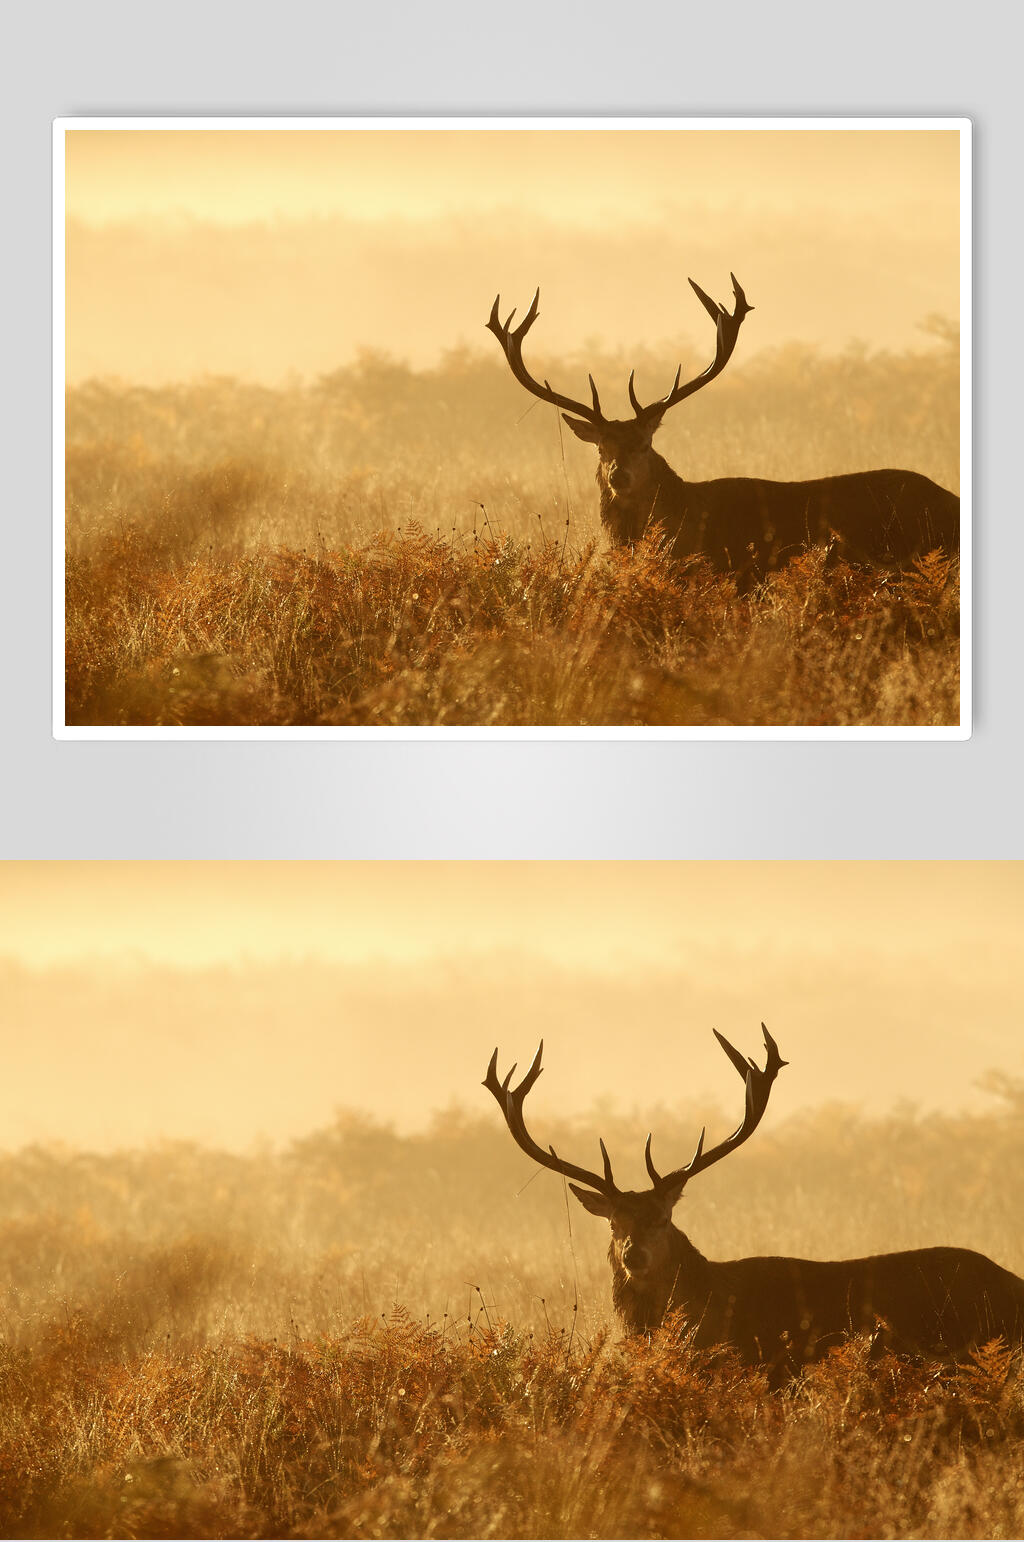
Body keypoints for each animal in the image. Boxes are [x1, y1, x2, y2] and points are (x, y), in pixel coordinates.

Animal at [484, 1027, 1024, 1384]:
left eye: (664, 1217)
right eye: (614, 1223)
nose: (634, 1254)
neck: (709, 1305)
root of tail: (1013, 1283)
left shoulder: (765, 1367)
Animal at [487, 281, 960, 590]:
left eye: (645, 443)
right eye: (602, 447)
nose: (619, 476)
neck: (685, 520)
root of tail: (951, 501)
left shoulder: (735, 575)